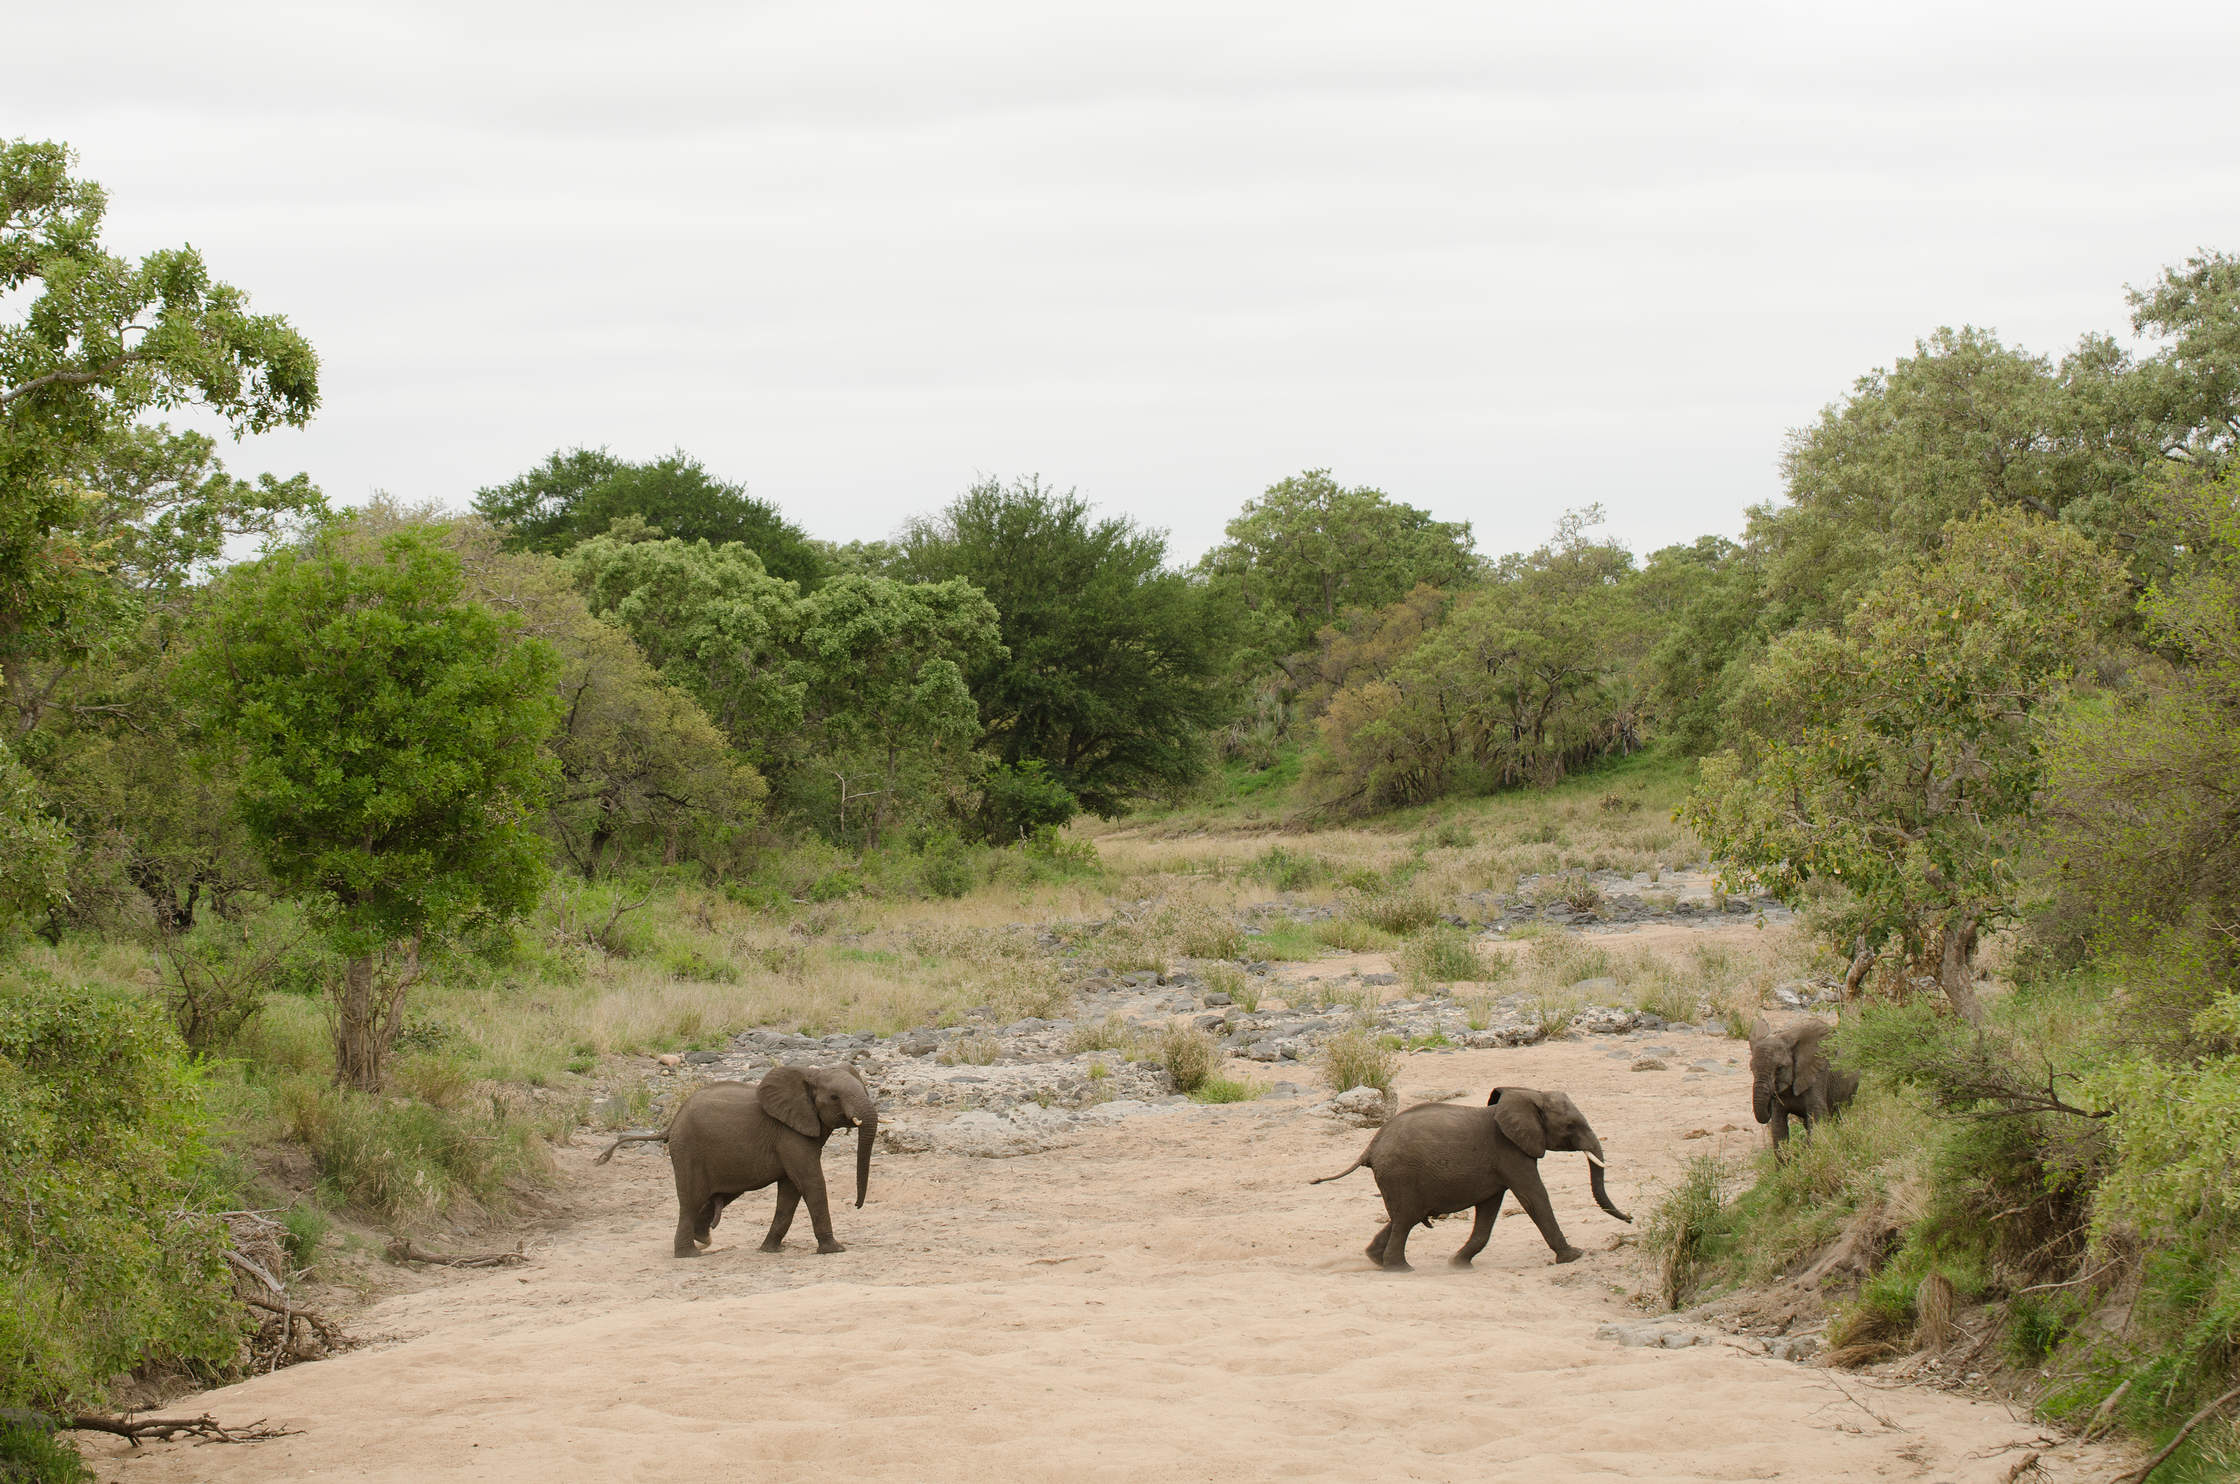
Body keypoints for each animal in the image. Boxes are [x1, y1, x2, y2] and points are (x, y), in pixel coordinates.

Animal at [595, 1065, 878, 1257]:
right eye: (834, 1097)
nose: (856, 1205)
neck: (810, 1073)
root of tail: (670, 1124)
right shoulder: (789, 1134)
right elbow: (811, 1183)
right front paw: (835, 1250)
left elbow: (790, 1191)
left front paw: (769, 1250)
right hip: (688, 1151)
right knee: (690, 1201)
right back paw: (689, 1254)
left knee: (715, 1197)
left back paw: (703, 1240)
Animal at [1312, 1086, 1631, 1269]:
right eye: (1571, 1126)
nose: (1631, 1219)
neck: (1528, 1097)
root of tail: (1371, 1146)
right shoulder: (1511, 1152)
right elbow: (1535, 1197)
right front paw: (1574, 1256)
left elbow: (1489, 1209)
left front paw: (1458, 1264)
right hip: (1400, 1174)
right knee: (1405, 1221)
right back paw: (1400, 1269)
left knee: (1403, 1216)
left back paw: (1374, 1259)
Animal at [1749, 1015, 1858, 1148]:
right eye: (1752, 1069)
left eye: (1779, 1068)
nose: (1771, 1098)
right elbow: (1778, 1127)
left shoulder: (1817, 1077)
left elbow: (1817, 1118)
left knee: (1840, 1114)